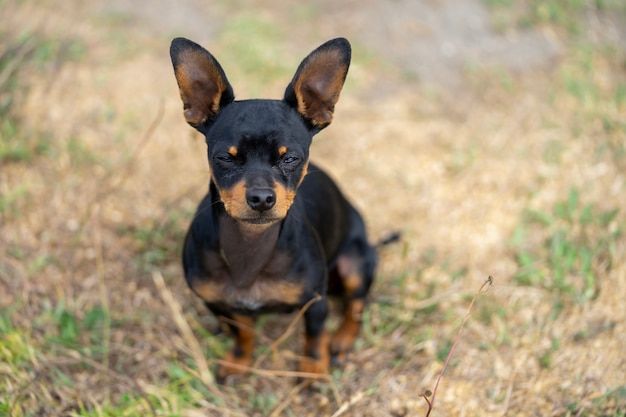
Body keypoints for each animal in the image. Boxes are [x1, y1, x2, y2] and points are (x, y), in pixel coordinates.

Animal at [168, 37, 378, 378]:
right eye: (224, 158)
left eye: (290, 158)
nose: (262, 198)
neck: (250, 245)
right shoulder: (220, 303)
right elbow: (243, 331)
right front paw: (239, 361)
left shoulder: (315, 302)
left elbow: (314, 337)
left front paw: (313, 370)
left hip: (356, 263)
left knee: (356, 305)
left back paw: (343, 340)